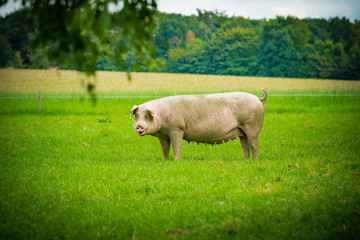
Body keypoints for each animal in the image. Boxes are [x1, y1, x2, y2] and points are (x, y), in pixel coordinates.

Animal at [130, 88, 268, 161]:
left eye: (147, 116)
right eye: (136, 116)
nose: (139, 126)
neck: (162, 115)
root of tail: (257, 98)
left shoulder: (177, 129)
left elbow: (176, 146)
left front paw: (176, 161)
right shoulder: (163, 136)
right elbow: (165, 148)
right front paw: (165, 161)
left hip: (252, 126)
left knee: (254, 144)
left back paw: (255, 161)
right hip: (242, 131)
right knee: (245, 146)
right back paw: (246, 161)